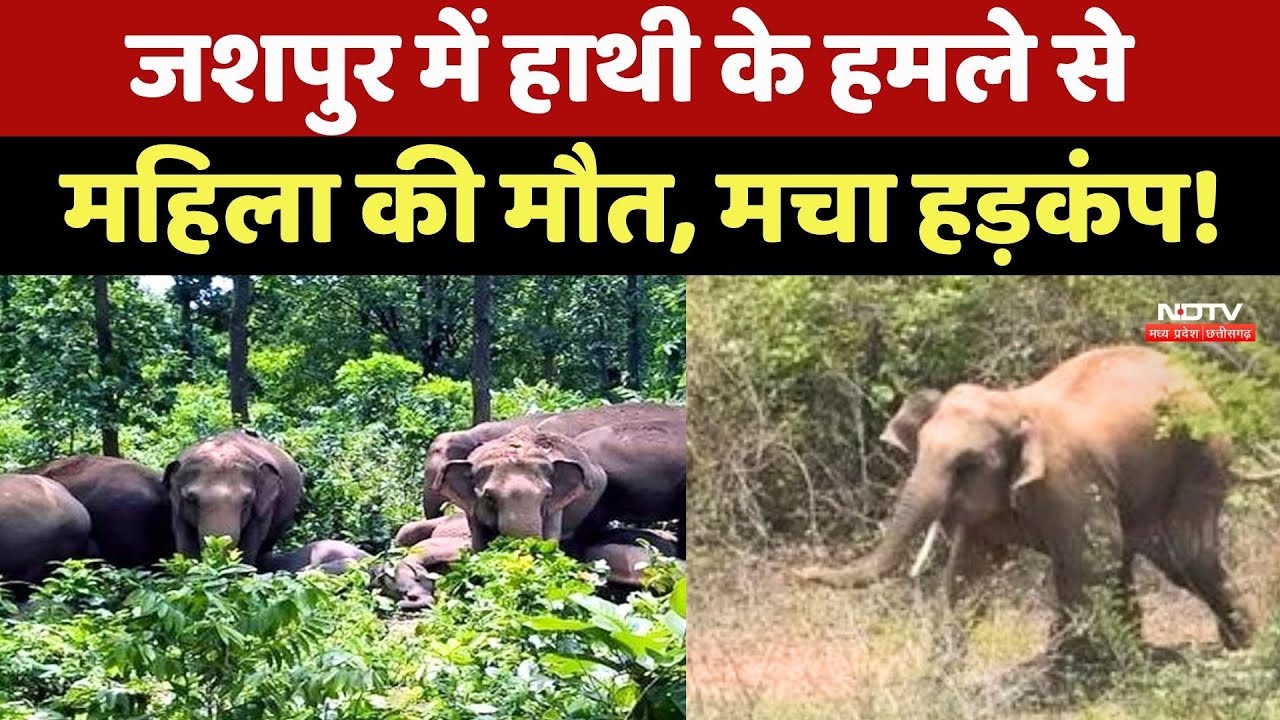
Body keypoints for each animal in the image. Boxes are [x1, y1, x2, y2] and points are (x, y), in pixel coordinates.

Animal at [163, 429, 305, 569]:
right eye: (191, 499)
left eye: (247, 501)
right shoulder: (177, 509)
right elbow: (185, 544)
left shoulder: (263, 508)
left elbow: (249, 544)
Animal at [793, 345, 1255, 660]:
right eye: (919, 450)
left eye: (967, 464)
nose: (799, 574)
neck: (1013, 405)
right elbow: (968, 575)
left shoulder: (1067, 482)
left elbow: (1086, 560)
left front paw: (1061, 664)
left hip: (1202, 461)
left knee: (1184, 557)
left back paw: (1240, 646)